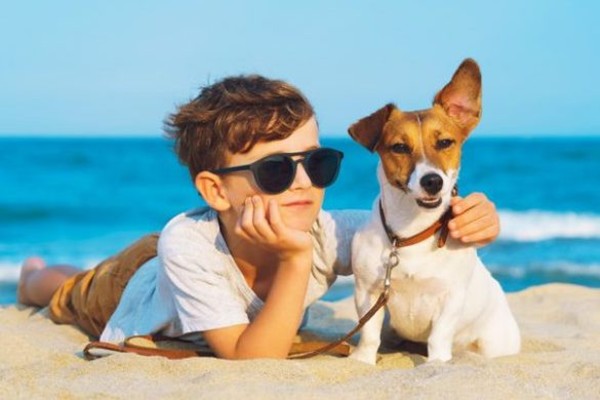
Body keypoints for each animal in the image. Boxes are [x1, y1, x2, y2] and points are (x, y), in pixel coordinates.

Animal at [346, 57, 520, 364]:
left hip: (494, 342)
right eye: (400, 147)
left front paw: (437, 363)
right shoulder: (368, 292)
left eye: (445, 142)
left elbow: (438, 338)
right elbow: (368, 334)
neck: (411, 233)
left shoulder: (450, 299)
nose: (432, 181)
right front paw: (362, 360)